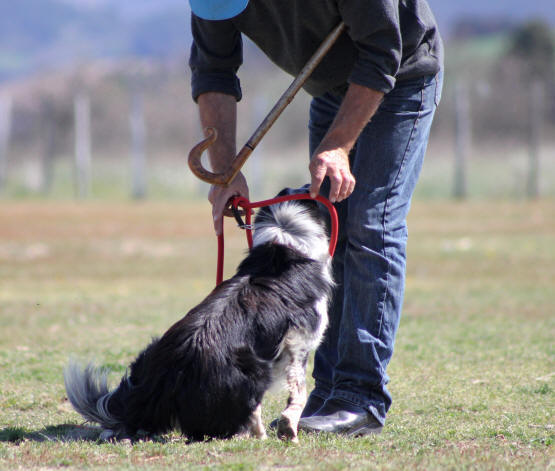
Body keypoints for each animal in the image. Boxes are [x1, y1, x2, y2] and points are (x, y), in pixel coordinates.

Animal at [65, 194, 334, 444]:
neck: (282, 244)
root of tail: (171, 368)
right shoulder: (299, 342)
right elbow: (298, 391)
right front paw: (288, 428)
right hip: (255, 370)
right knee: (244, 412)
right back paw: (257, 435)